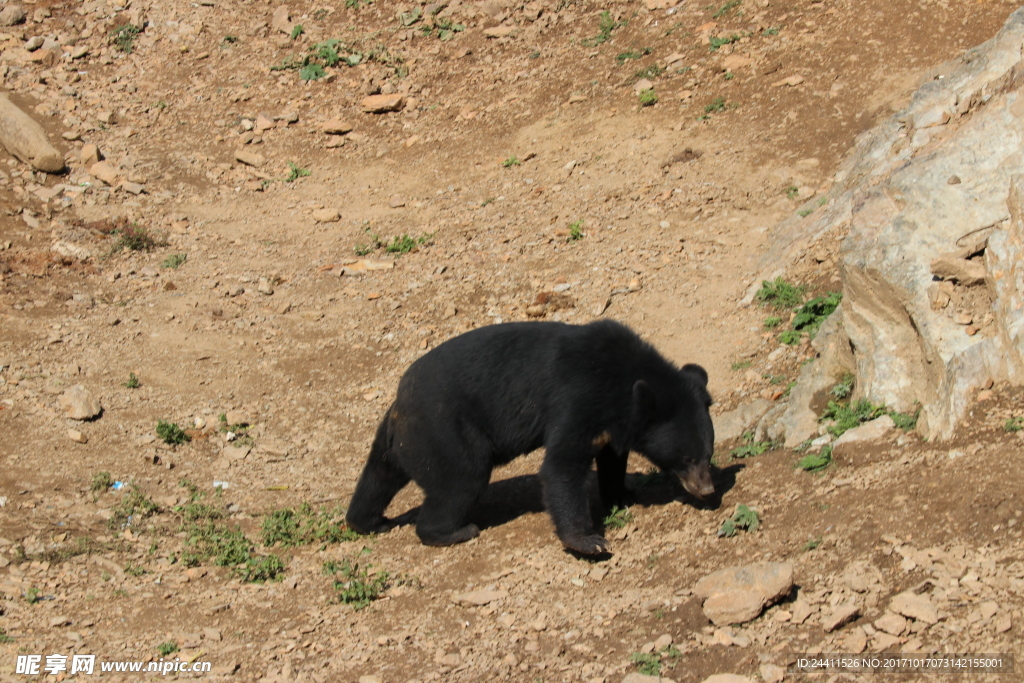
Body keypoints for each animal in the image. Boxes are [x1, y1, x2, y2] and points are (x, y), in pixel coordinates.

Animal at [344, 321, 712, 557]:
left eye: (708, 453)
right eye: (687, 458)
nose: (707, 490)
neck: (620, 385)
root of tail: (399, 404)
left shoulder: (611, 424)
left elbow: (610, 459)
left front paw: (623, 494)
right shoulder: (579, 397)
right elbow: (562, 466)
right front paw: (590, 541)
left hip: (399, 441)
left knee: (378, 476)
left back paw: (370, 521)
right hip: (445, 432)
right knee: (461, 480)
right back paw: (453, 531)